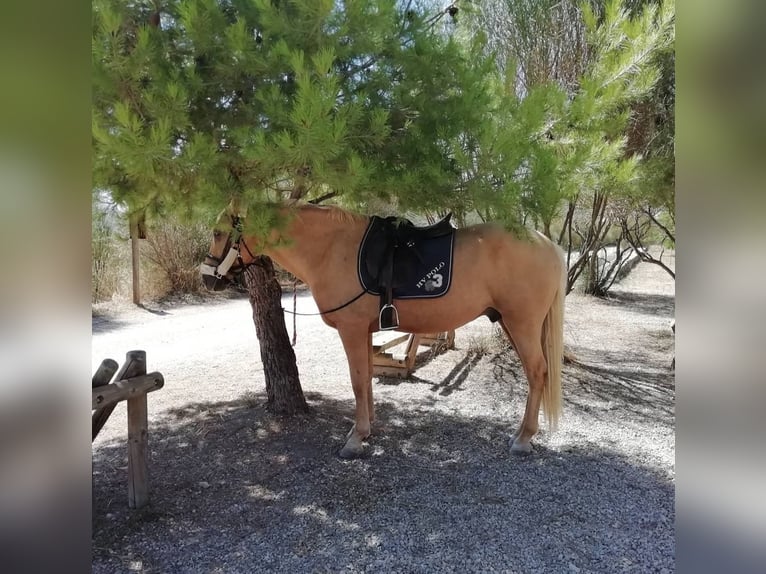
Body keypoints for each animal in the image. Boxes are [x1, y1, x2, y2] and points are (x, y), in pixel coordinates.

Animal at [201, 202, 568, 460]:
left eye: (219, 232)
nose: (206, 278)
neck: (332, 249)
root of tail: (547, 243)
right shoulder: (363, 331)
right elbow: (365, 379)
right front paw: (367, 429)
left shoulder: (350, 330)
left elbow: (356, 380)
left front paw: (354, 439)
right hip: (510, 322)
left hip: (522, 323)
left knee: (537, 372)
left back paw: (523, 438)